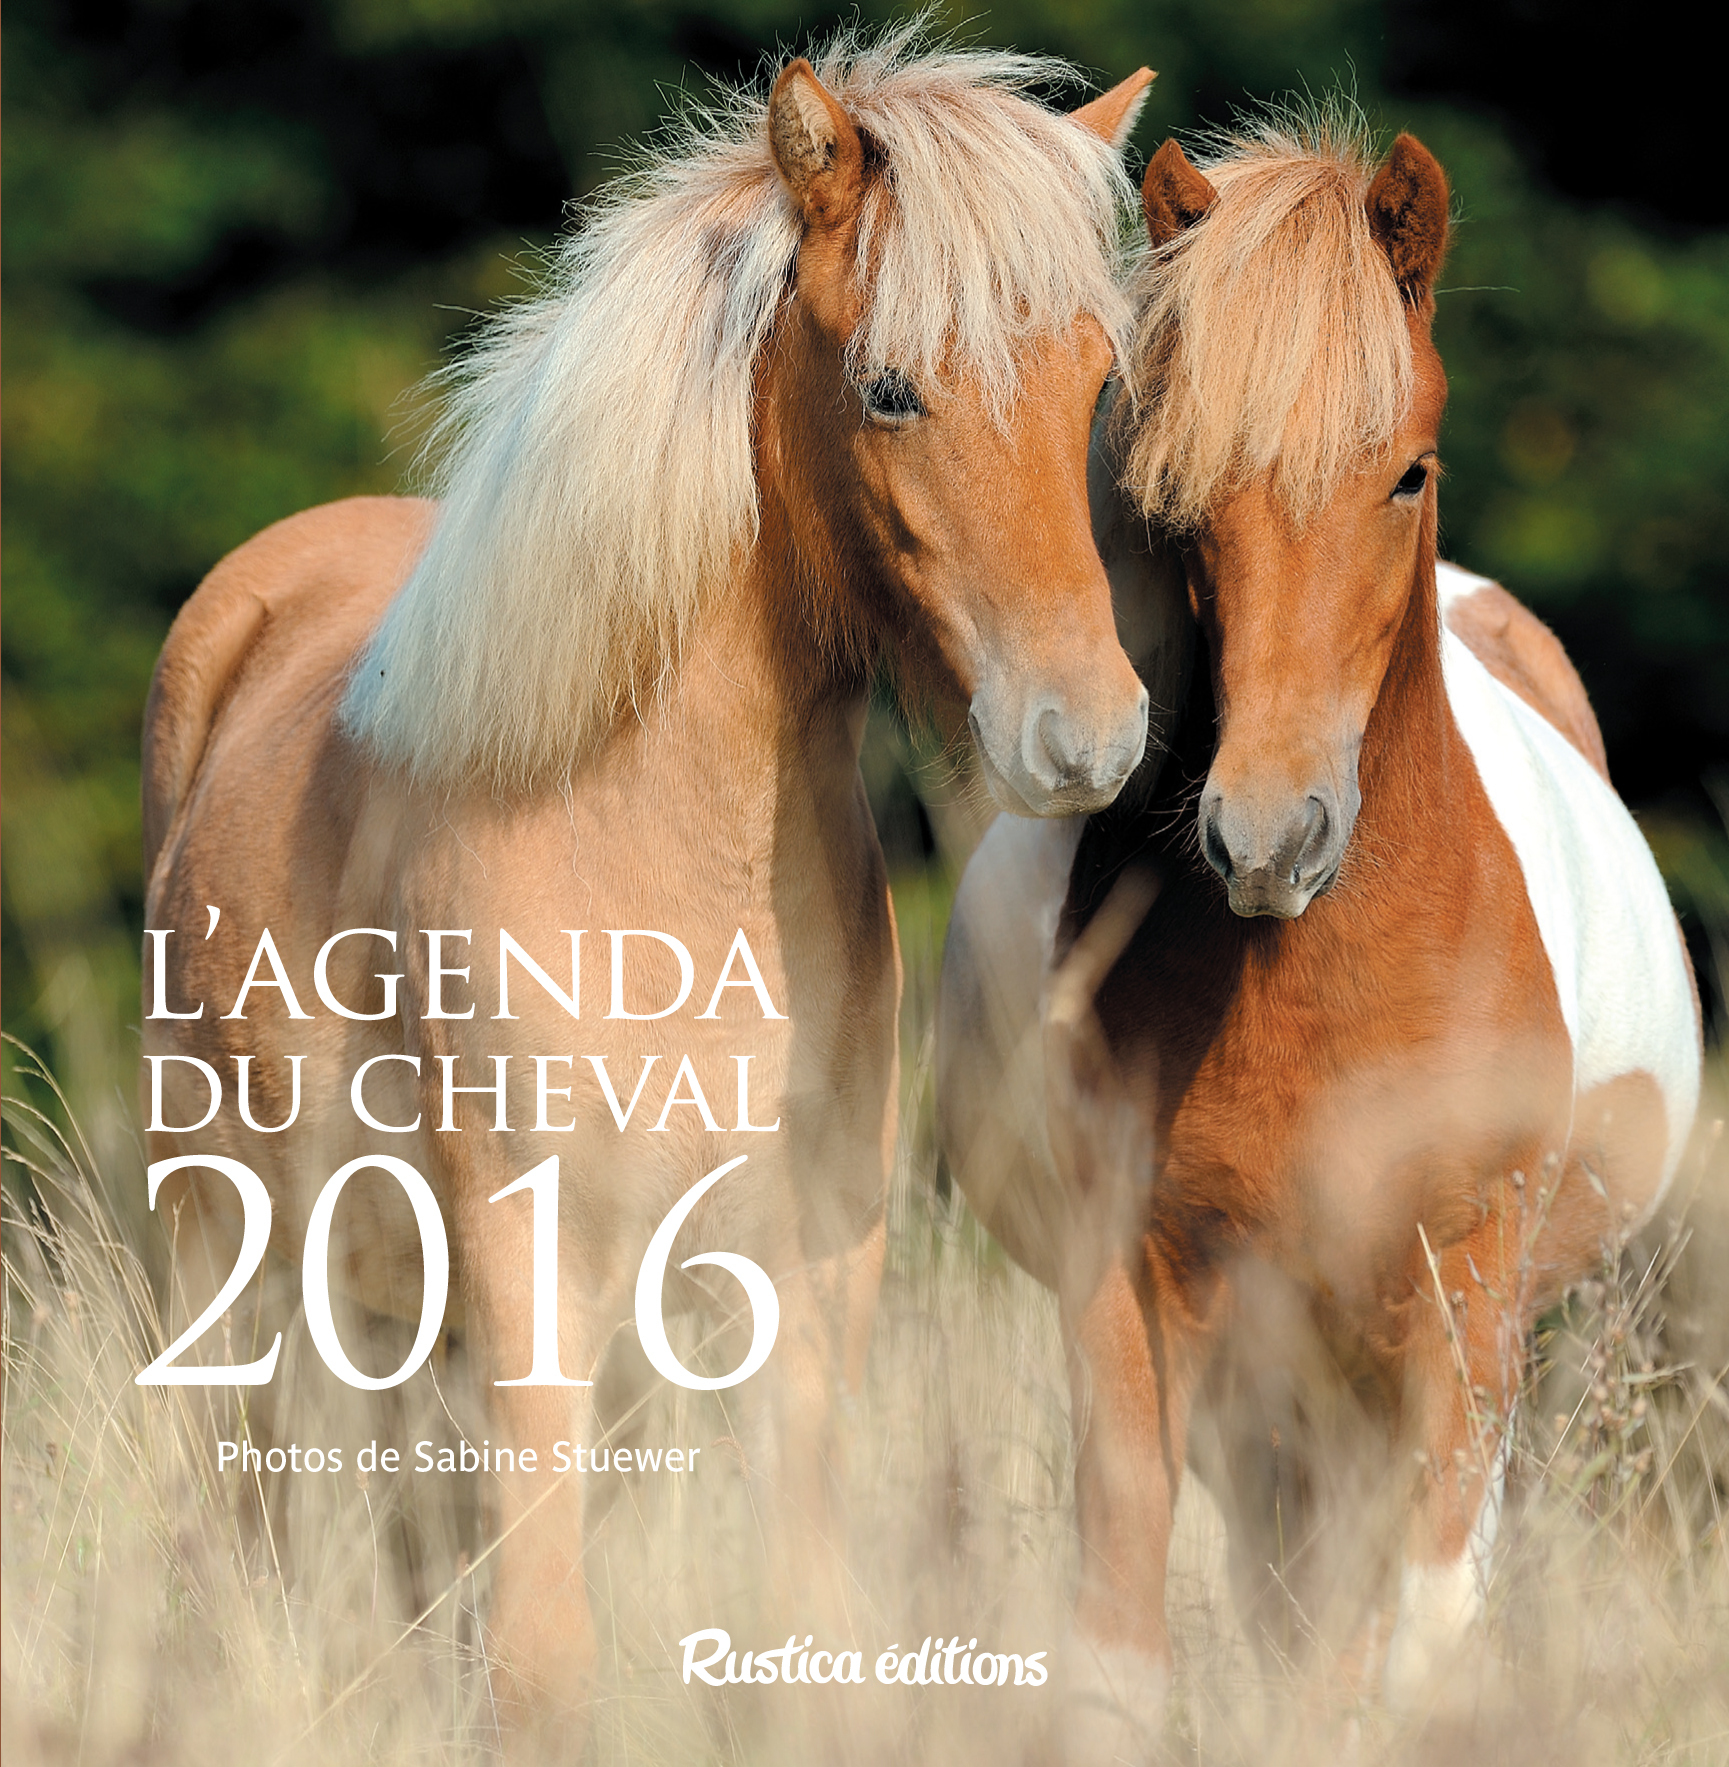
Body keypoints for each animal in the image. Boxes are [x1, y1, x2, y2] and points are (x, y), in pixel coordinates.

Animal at [140, 35, 1157, 1743]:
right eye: (889, 387)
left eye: (1093, 382)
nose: (1085, 733)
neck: (662, 861)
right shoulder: (526, 1255)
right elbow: (545, 1657)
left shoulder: (808, 1267)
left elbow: (798, 1615)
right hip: (237, 1253)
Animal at [937, 112, 1700, 1752]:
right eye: (1176, 504)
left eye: (1406, 473)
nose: (1266, 837)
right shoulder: (1134, 1296)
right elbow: (1121, 1616)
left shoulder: (1460, 1308)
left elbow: (1419, 1630)